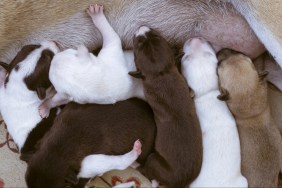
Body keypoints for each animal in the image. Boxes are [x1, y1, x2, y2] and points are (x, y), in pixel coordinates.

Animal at [130, 26, 203, 187]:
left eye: (137, 46)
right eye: (156, 35)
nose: (142, 28)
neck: (162, 75)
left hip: (153, 160)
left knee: (146, 170)